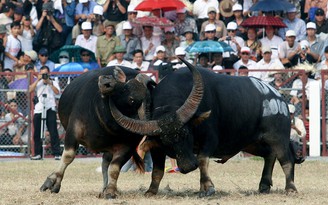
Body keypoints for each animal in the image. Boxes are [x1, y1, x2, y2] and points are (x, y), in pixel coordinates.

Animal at [39, 66, 156, 198]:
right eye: (125, 85)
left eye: (132, 100)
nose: (106, 81)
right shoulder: (73, 131)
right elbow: (68, 156)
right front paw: (53, 182)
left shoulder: (128, 146)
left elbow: (114, 168)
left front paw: (110, 191)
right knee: (104, 163)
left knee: (106, 163)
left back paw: (105, 188)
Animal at [110, 58, 298, 197]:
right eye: (166, 142)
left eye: (186, 133)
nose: (187, 167)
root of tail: (278, 97)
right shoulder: (157, 147)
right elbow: (157, 170)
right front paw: (151, 191)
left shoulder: (210, 139)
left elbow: (202, 160)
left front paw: (207, 187)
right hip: (252, 143)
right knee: (269, 155)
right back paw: (264, 186)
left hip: (277, 137)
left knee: (285, 159)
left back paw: (290, 188)